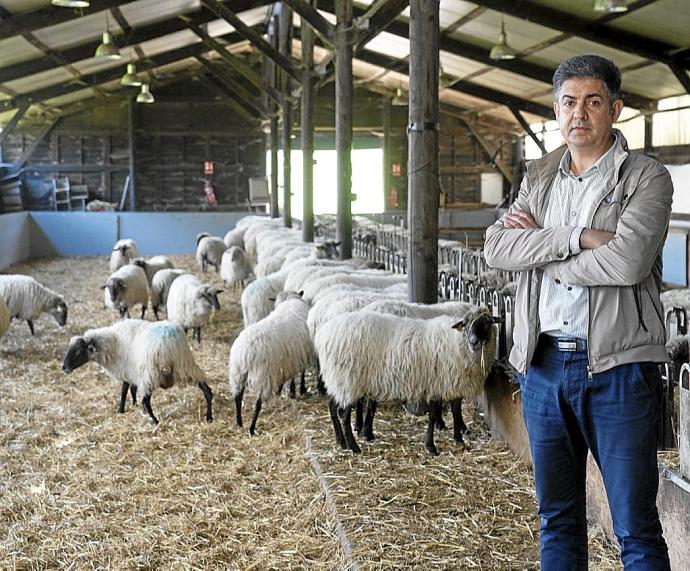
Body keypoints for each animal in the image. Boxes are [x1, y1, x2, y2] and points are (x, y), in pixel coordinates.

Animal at [61, 322, 212, 424]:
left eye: (78, 351)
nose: (64, 368)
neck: (112, 343)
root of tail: (168, 343)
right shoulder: (133, 373)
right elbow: (131, 389)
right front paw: (133, 405)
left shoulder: (128, 370)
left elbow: (124, 391)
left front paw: (121, 410)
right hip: (185, 365)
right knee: (206, 389)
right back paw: (209, 416)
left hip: (151, 373)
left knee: (146, 400)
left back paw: (155, 421)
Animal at [227, 294, 314, 434]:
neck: (290, 300)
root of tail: (246, 351)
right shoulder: (299, 356)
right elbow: (300, 373)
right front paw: (299, 389)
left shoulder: (287, 361)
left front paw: (282, 391)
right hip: (263, 375)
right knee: (258, 403)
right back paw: (251, 428)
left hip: (237, 373)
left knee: (237, 398)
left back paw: (239, 423)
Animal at [314, 308, 498, 456]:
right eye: (466, 324)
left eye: (487, 323)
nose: (473, 341)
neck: (457, 342)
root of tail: (323, 335)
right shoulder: (437, 384)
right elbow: (434, 415)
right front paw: (432, 446)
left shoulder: (452, 384)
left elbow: (455, 411)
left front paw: (458, 438)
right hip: (348, 381)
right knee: (344, 414)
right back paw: (353, 446)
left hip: (337, 381)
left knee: (332, 407)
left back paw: (341, 442)